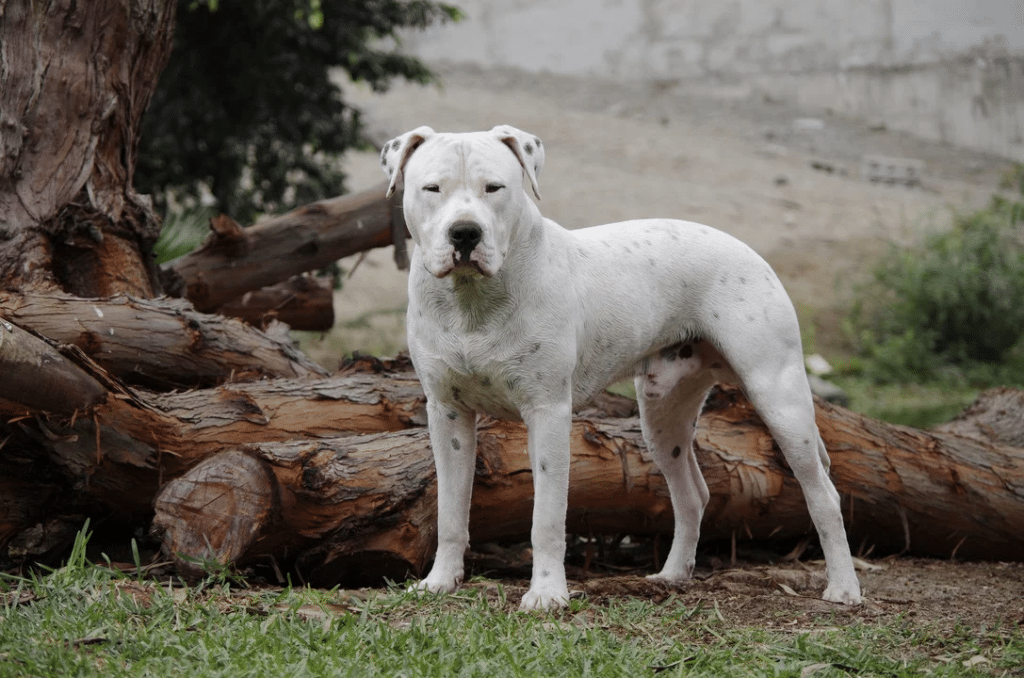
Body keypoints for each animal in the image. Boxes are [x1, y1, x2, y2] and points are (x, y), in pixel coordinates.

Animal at [380, 125, 860, 610]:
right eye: (432, 189)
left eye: (494, 188)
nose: (465, 233)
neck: (472, 302)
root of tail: (749, 251)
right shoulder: (448, 415)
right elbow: (451, 509)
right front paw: (440, 581)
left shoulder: (547, 413)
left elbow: (547, 517)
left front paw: (547, 593)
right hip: (663, 416)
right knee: (692, 494)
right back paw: (672, 575)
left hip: (779, 398)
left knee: (824, 494)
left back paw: (843, 587)